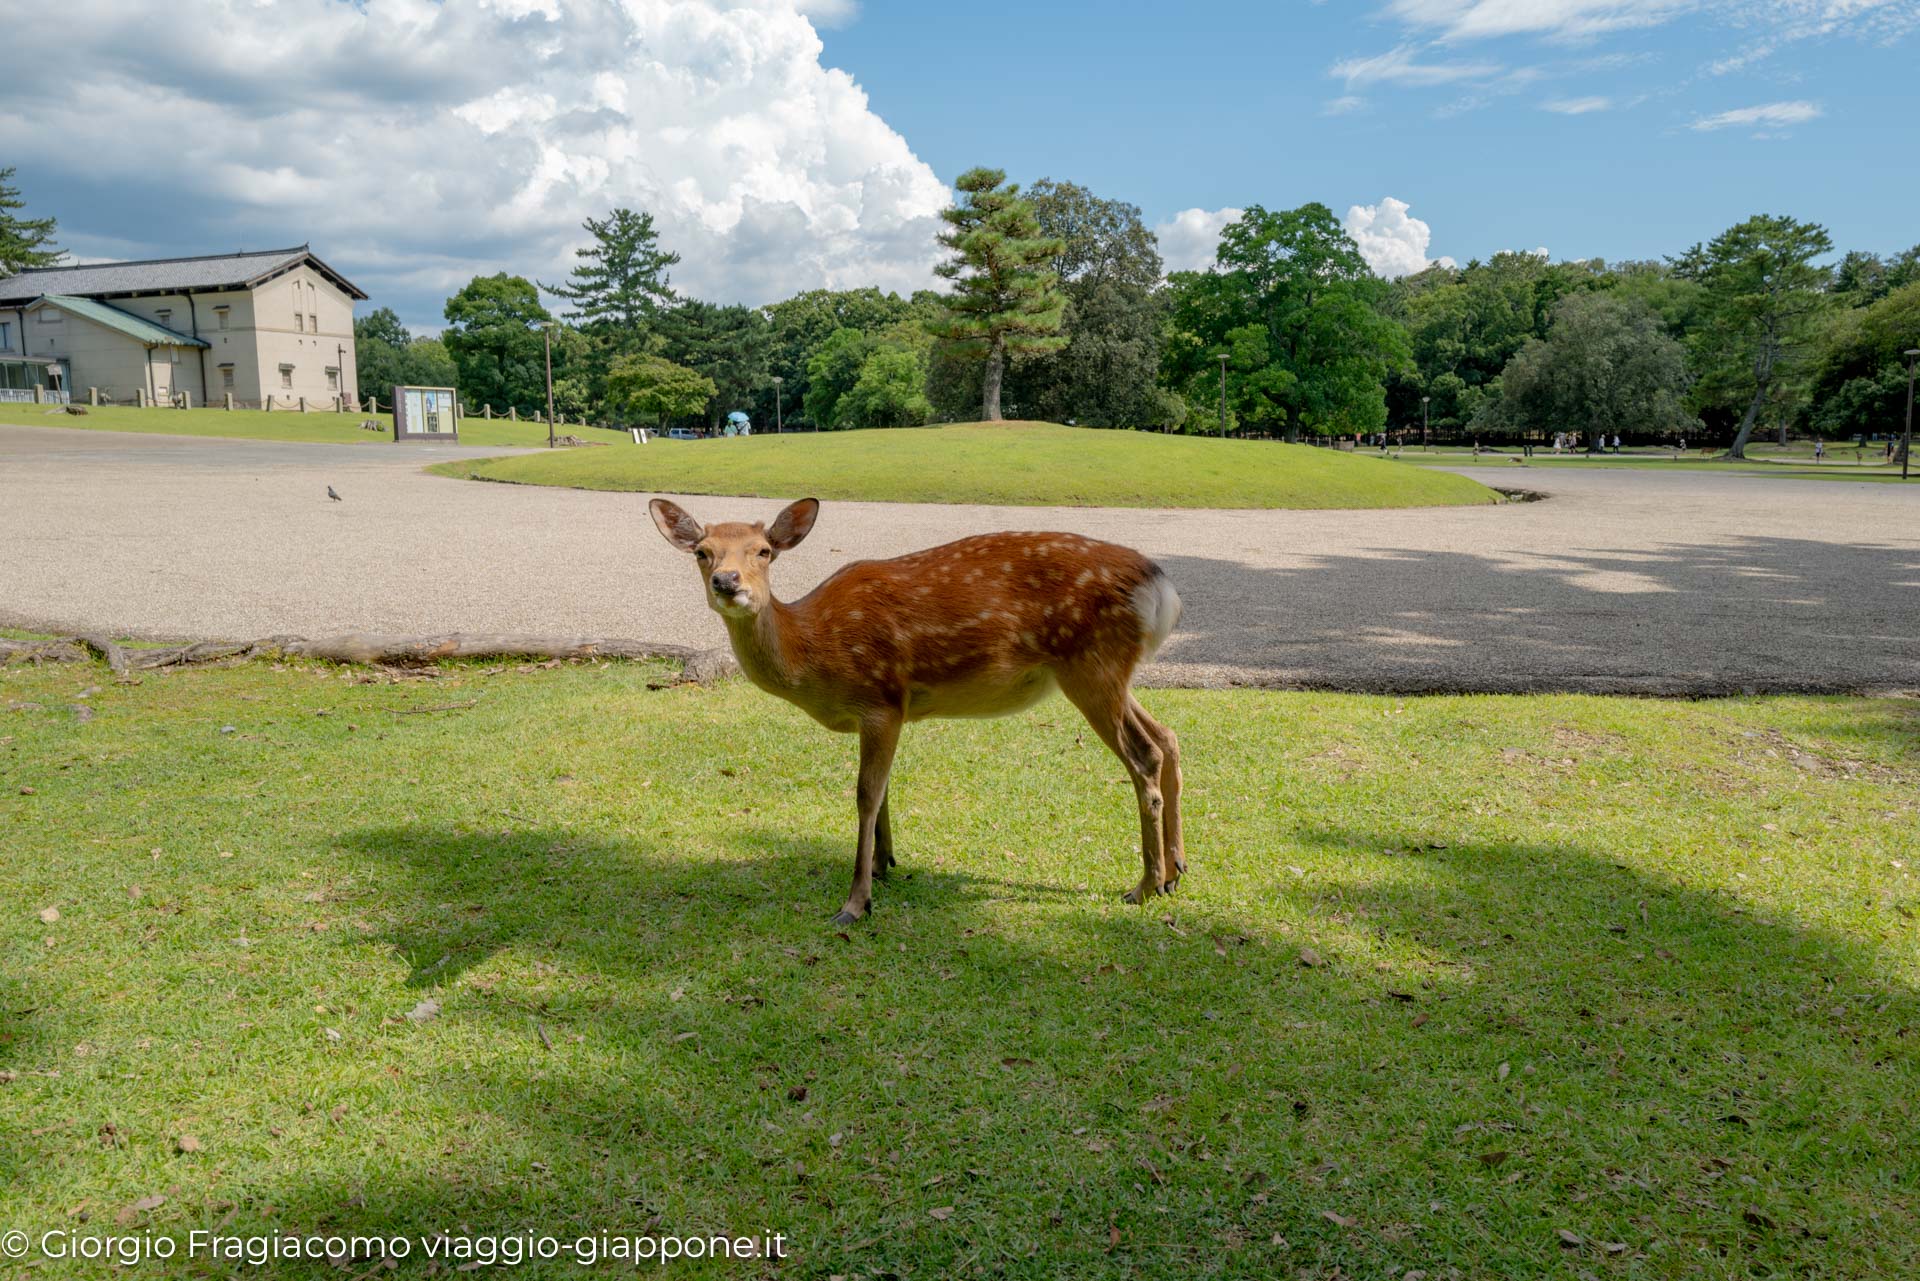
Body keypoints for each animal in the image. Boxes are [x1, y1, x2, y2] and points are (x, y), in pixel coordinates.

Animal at [648, 495, 1182, 925]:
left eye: (763, 551)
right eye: (702, 551)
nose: (727, 581)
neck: (814, 650)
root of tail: (1161, 588)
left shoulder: (880, 699)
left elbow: (865, 794)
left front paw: (855, 902)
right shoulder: (888, 712)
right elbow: (884, 789)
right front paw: (884, 864)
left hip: (1092, 665)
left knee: (1144, 755)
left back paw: (1144, 885)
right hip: (1107, 673)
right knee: (1168, 736)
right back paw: (1176, 870)